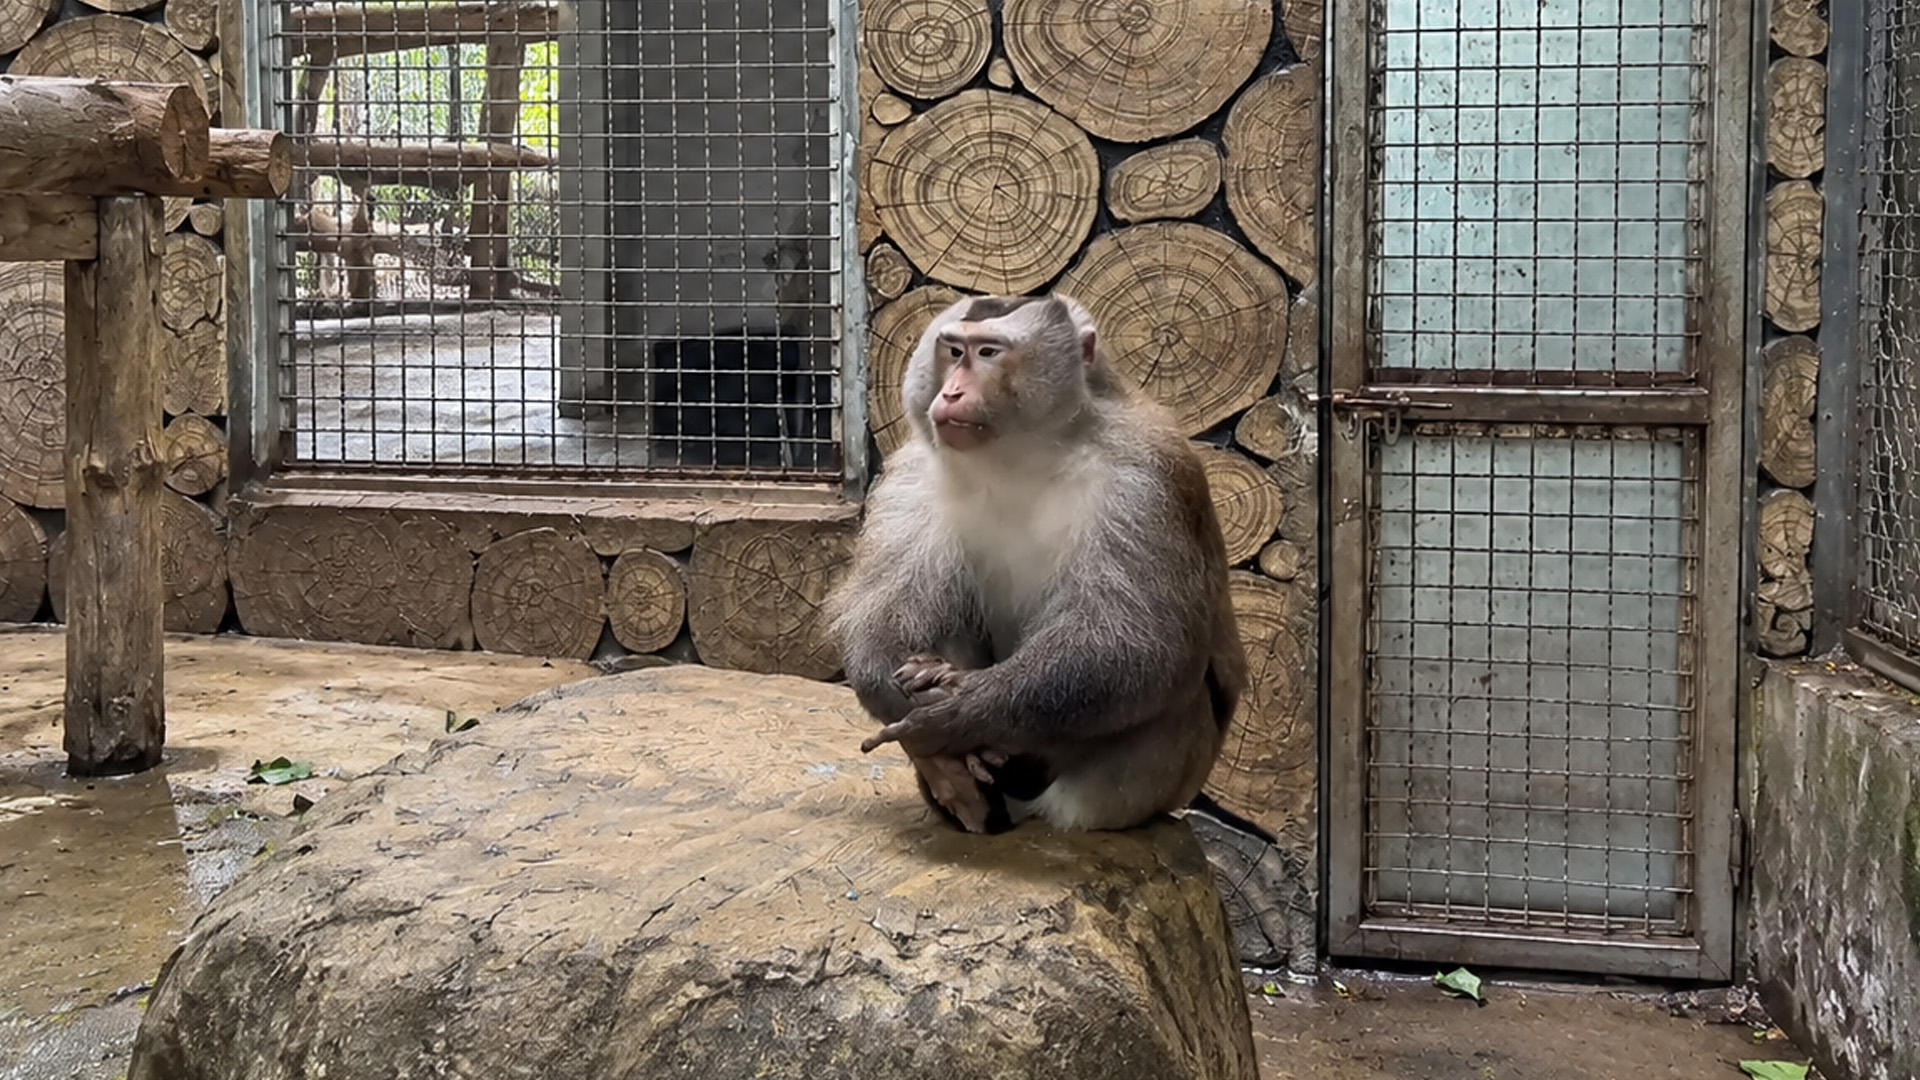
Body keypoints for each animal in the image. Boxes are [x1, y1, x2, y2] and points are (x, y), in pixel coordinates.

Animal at [829, 293, 1247, 834]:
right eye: (953, 350)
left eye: (988, 353)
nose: (952, 393)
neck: (1019, 456)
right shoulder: (914, 475)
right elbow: (882, 614)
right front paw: (907, 702)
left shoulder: (1142, 481)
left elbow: (1140, 645)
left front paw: (960, 713)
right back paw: (966, 792)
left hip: (1148, 786)